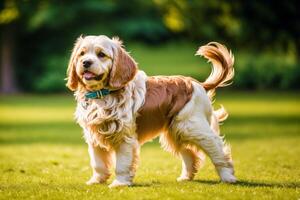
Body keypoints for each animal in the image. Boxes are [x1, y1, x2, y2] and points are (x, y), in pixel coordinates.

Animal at [65, 34, 237, 188]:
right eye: (82, 54)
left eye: (101, 54)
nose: (86, 62)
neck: (102, 95)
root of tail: (197, 83)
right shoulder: (93, 137)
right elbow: (98, 164)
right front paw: (96, 181)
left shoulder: (125, 138)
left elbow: (121, 165)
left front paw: (119, 184)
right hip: (176, 132)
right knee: (190, 155)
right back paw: (185, 177)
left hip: (193, 128)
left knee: (217, 150)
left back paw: (228, 177)